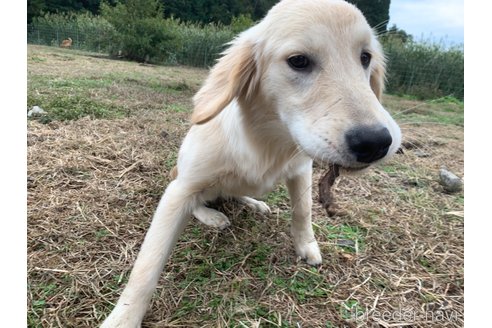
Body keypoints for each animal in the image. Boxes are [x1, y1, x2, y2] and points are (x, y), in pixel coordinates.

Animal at [100, 0, 400, 326]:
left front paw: (307, 245)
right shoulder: (180, 190)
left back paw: (254, 203)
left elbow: (303, 211)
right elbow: (147, 266)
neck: (268, 140)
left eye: (365, 57)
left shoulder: (300, 169)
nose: (375, 142)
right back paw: (213, 216)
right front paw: (124, 317)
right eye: (298, 61)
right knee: (202, 201)